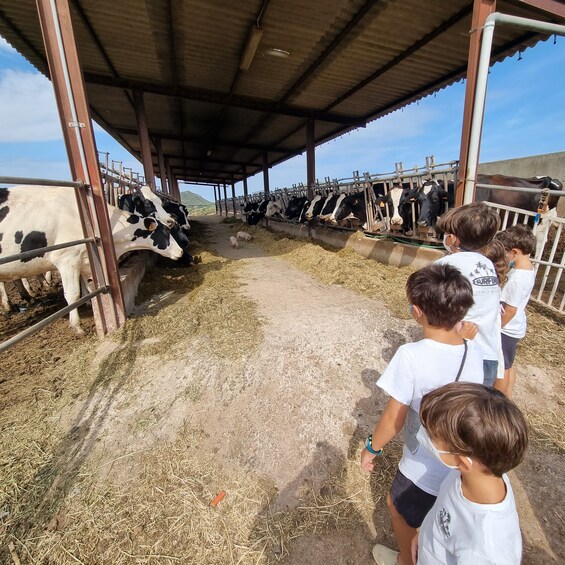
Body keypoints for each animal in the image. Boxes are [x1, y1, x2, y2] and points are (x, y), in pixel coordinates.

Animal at [0, 187, 181, 332]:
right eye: (148, 203)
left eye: (160, 201)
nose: (180, 251)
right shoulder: (67, 259)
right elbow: (72, 294)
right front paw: (77, 326)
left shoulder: (86, 262)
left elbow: (91, 286)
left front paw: (96, 308)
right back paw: (12, 305)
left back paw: (25, 298)